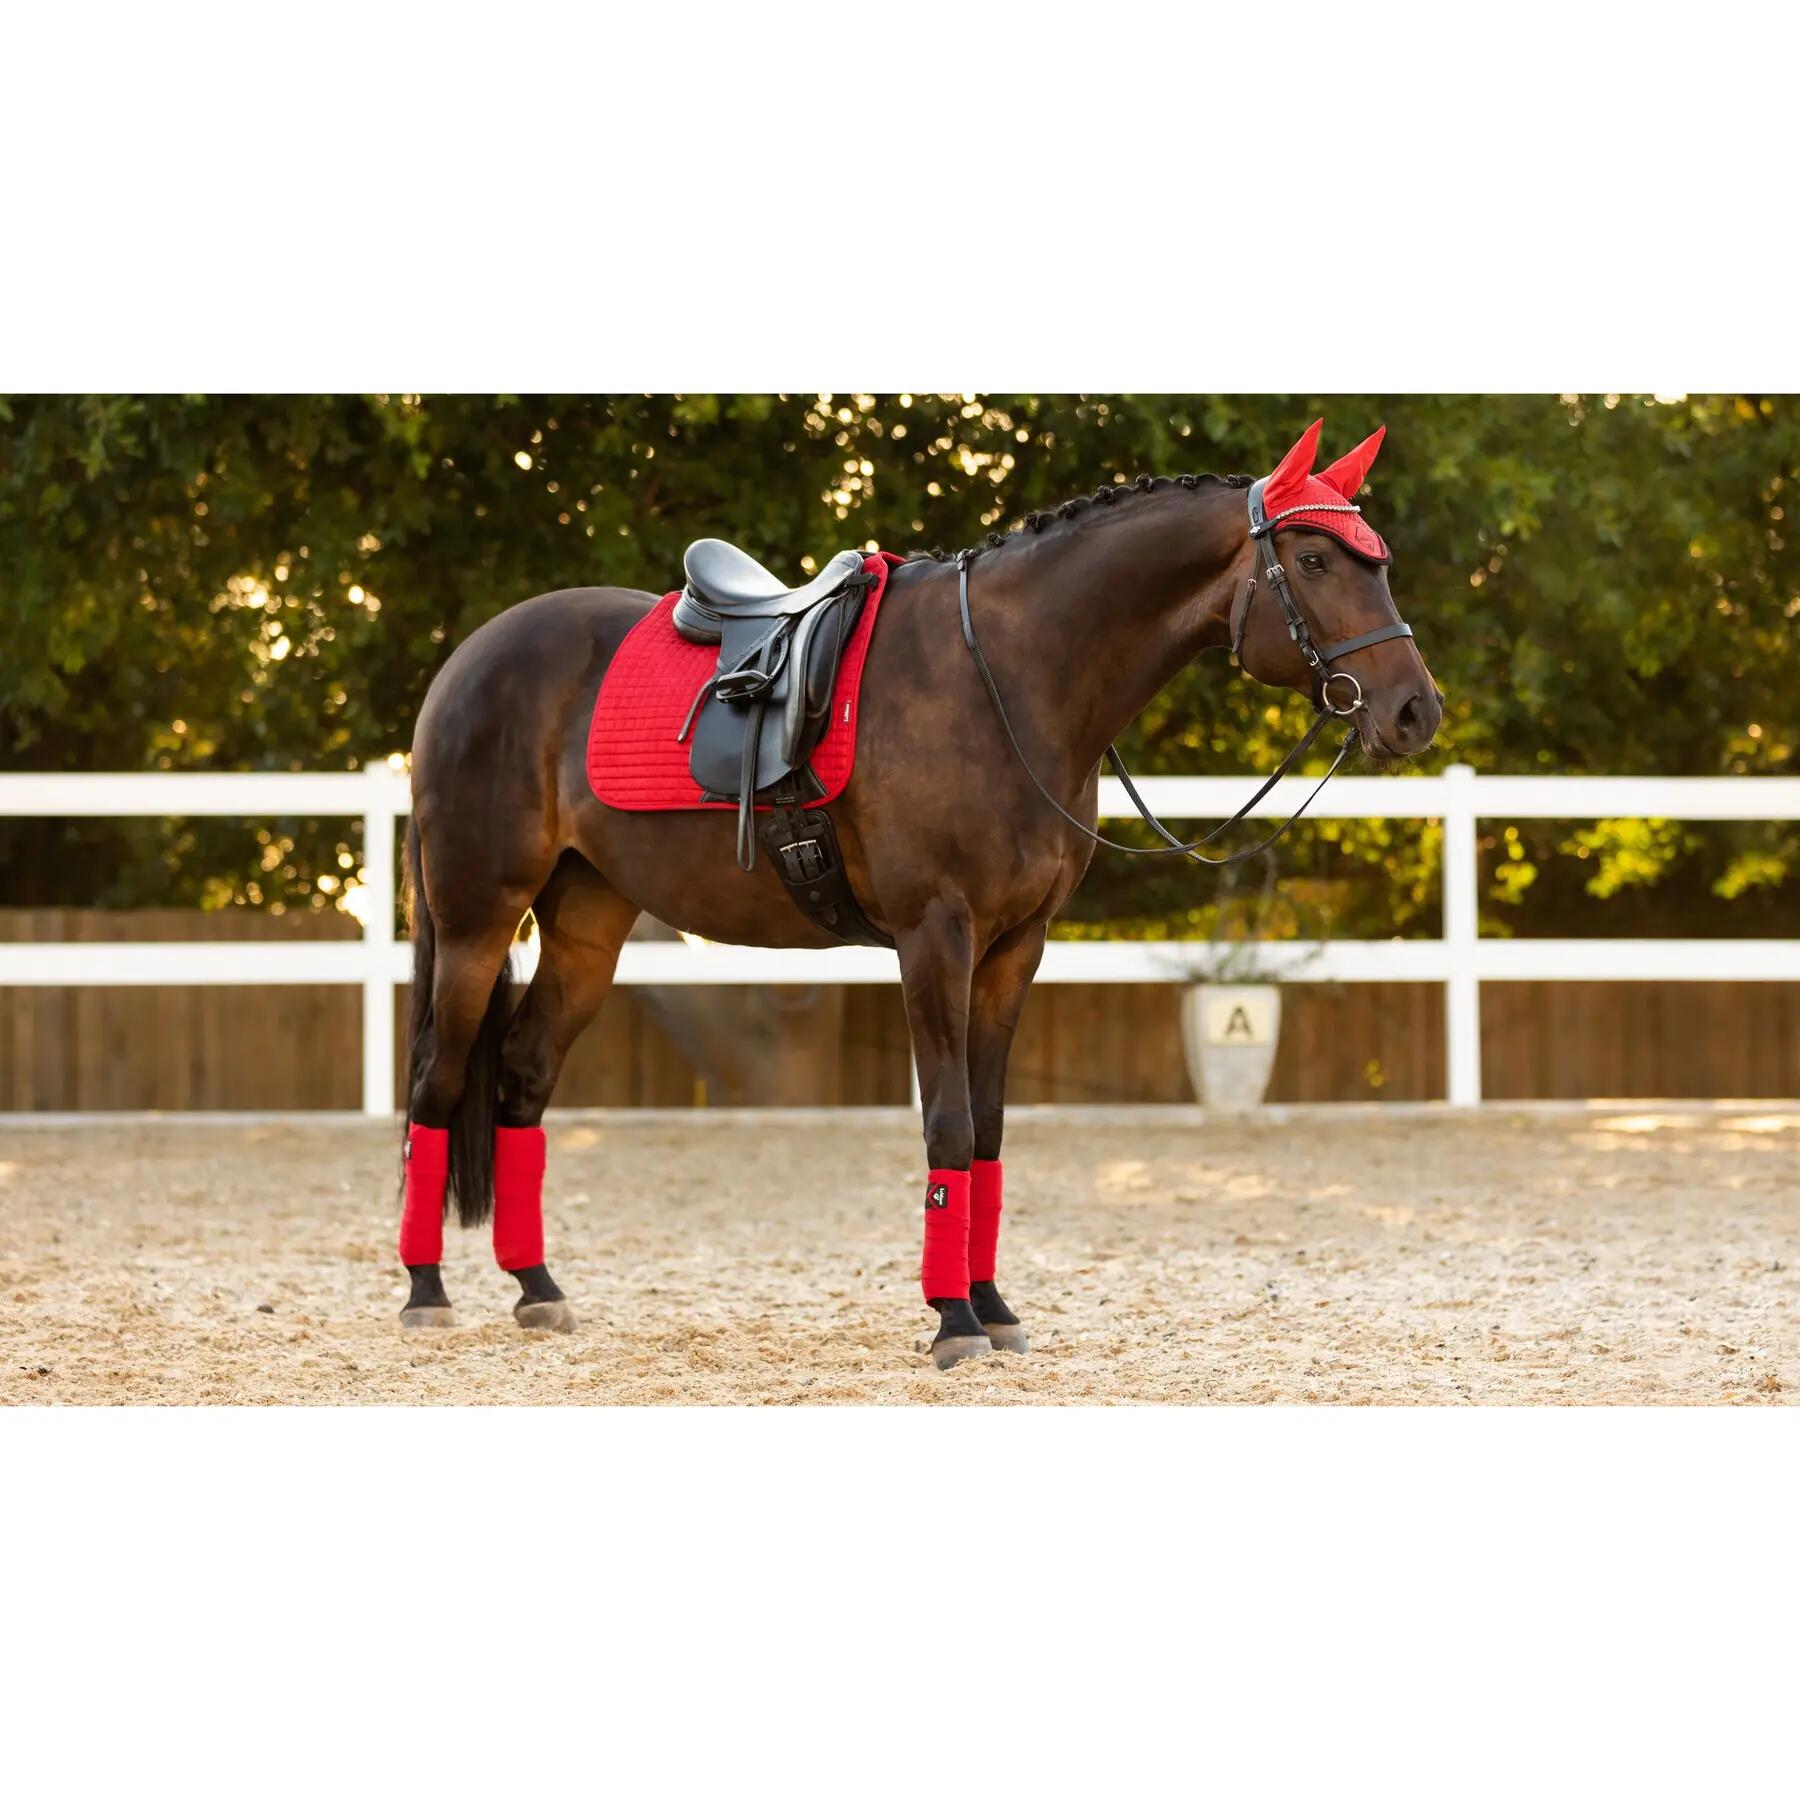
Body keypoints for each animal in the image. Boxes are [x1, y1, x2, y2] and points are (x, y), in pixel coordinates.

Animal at [393, 419, 1441, 1368]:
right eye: (1314, 558)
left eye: (1380, 565)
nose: (1414, 712)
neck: (1009, 680)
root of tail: (471, 658)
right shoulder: (936, 935)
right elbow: (946, 1120)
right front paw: (954, 1321)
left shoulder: (1017, 946)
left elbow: (988, 1127)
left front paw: (993, 1306)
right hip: (478, 917)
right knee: (438, 1081)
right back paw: (426, 1293)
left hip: (587, 922)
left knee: (523, 1073)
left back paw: (537, 1288)